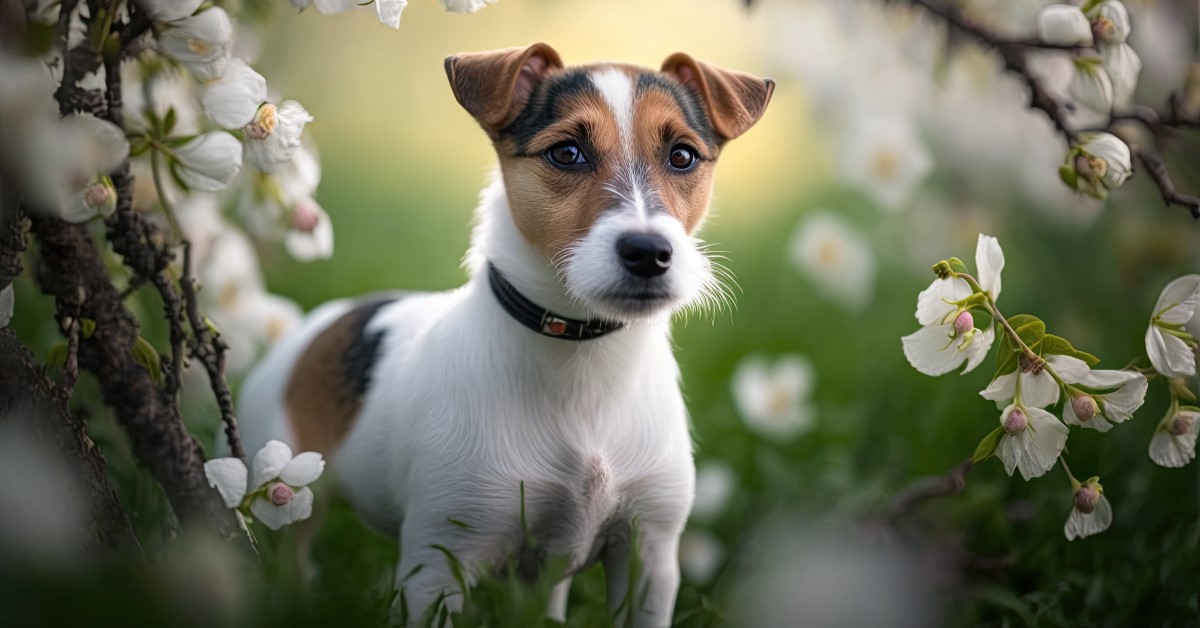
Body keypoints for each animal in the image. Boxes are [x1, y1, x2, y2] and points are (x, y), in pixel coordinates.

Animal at [238, 41, 772, 624]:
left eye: (682, 156)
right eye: (566, 153)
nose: (648, 252)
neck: (582, 352)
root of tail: (313, 324)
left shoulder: (649, 555)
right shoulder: (438, 564)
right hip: (282, 493)